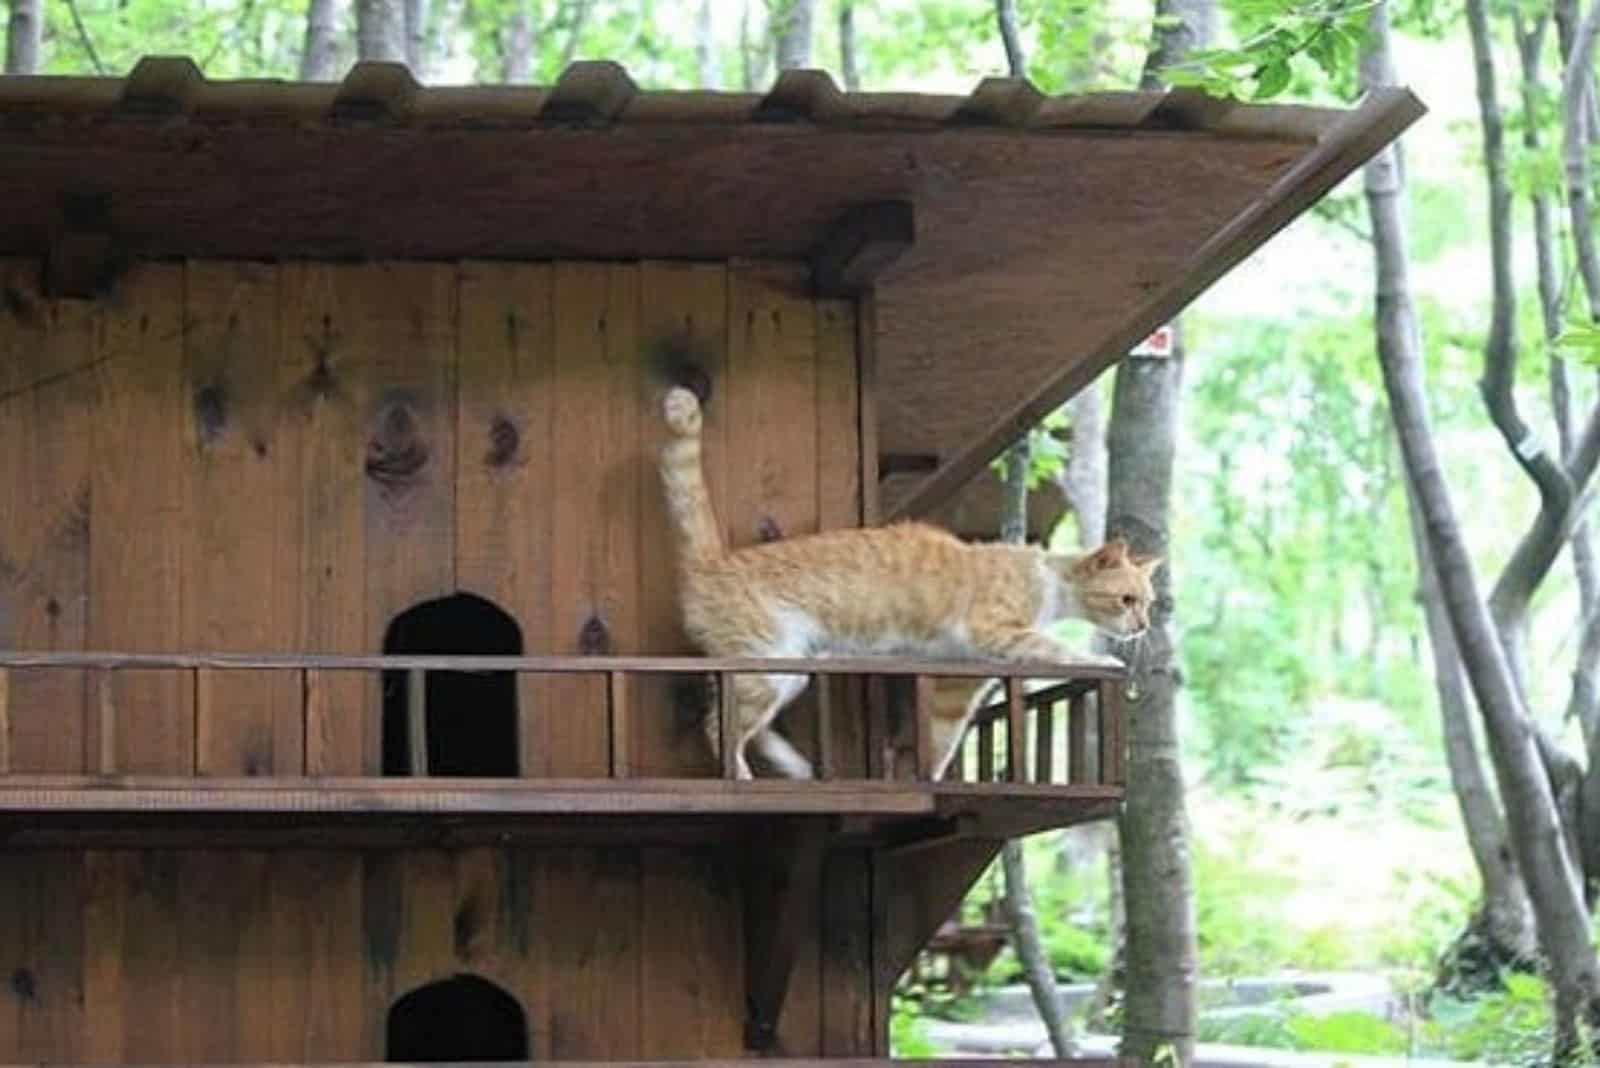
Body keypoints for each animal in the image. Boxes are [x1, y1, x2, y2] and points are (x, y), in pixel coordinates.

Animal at [656, 388, 1158, 780]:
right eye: (1127, 599)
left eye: (1149, 603)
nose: (1143, 627)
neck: (1048, 582)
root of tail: (714, 560)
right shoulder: (994, 629)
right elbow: (1060, 651)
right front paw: (1104, 660)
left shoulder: (955, 689)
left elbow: (939, 746)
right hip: (767, 667)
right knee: (718, 729)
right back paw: (747, 780)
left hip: (791, 672)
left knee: (750, 730)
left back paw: (796, 767)